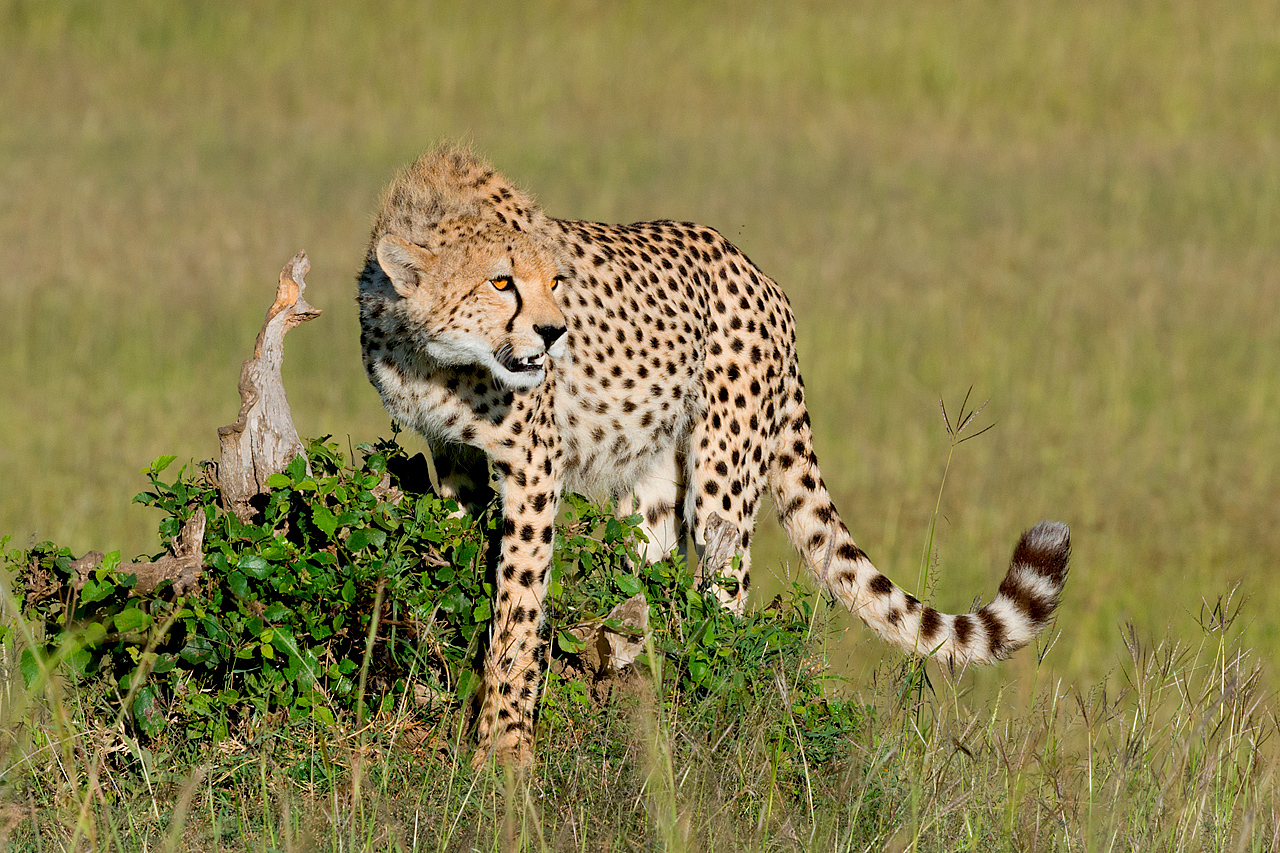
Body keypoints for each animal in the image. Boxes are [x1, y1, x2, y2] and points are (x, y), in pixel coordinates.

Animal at [360, 144, 1070, 763]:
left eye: (557, 280)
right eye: (500, 282)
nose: (554, 331)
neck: (437, 357)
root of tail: (760, 275)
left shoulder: (536, 466)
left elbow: (518, 605)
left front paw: (502, 748)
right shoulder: (453, 454)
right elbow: (457, 550)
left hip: (722, 479)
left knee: (727, 593)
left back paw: (712, 701)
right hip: (650, 481)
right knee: (650, 574)